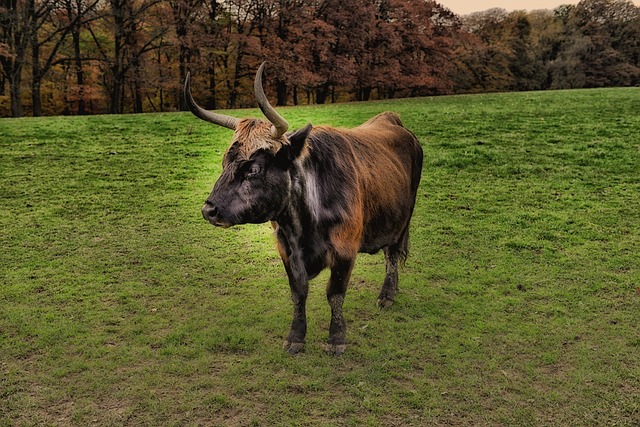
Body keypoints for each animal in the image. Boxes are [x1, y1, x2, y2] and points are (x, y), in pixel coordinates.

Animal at [185, 61, 422, 356]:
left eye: (254, 169)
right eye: (224, 162)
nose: (209, 210)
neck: (303, 224)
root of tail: (391, 120)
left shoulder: (345, 250)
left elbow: (335, 294)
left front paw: (336, 338)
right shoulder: (286, 251)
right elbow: (298, 293)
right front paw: (295, 336)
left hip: (403, 220)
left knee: (392, 255)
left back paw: (387, 295)